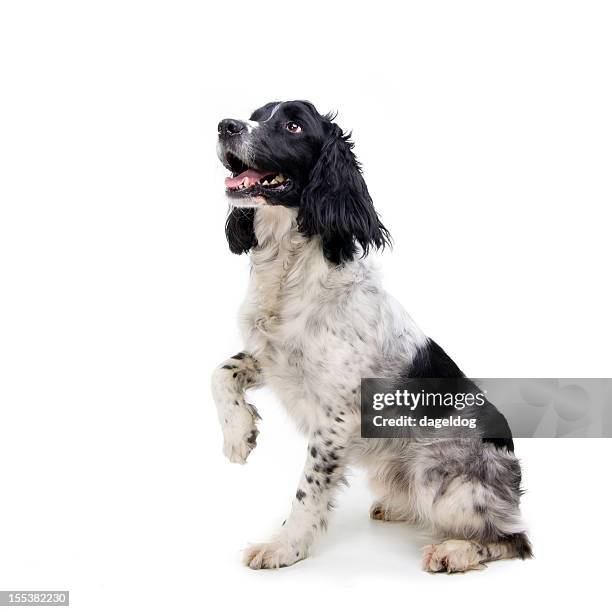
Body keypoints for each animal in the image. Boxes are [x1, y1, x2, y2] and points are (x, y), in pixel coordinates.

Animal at [214, 101, 532, 572]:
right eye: (256, 113)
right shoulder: (273, 357)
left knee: (514, 539)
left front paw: (285, 546)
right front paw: (239, 435)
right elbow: (221, 372)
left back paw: (454, 551)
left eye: (292, 125)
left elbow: (308, 490)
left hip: (437, 474)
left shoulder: (337, 416)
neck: (290, 268)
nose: (226, 125)